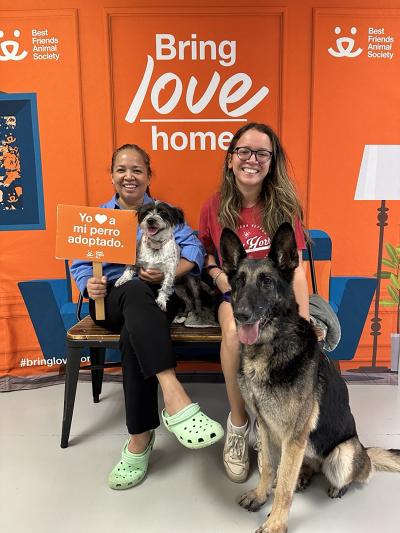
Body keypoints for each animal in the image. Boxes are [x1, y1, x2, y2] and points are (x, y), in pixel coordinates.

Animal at [220, 223, 398, 532]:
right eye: (239, 282)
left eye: (267, 282)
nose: (241, 315)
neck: (271, 347)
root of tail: (364, 449)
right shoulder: (266, 427)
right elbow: (269, 468)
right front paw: (260, 495)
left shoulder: (294, 435)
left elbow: (283, 486)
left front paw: (275, 523)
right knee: (308, 465)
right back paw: (304, 474)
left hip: (343, 454)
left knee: (358, 473)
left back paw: (338, 485)